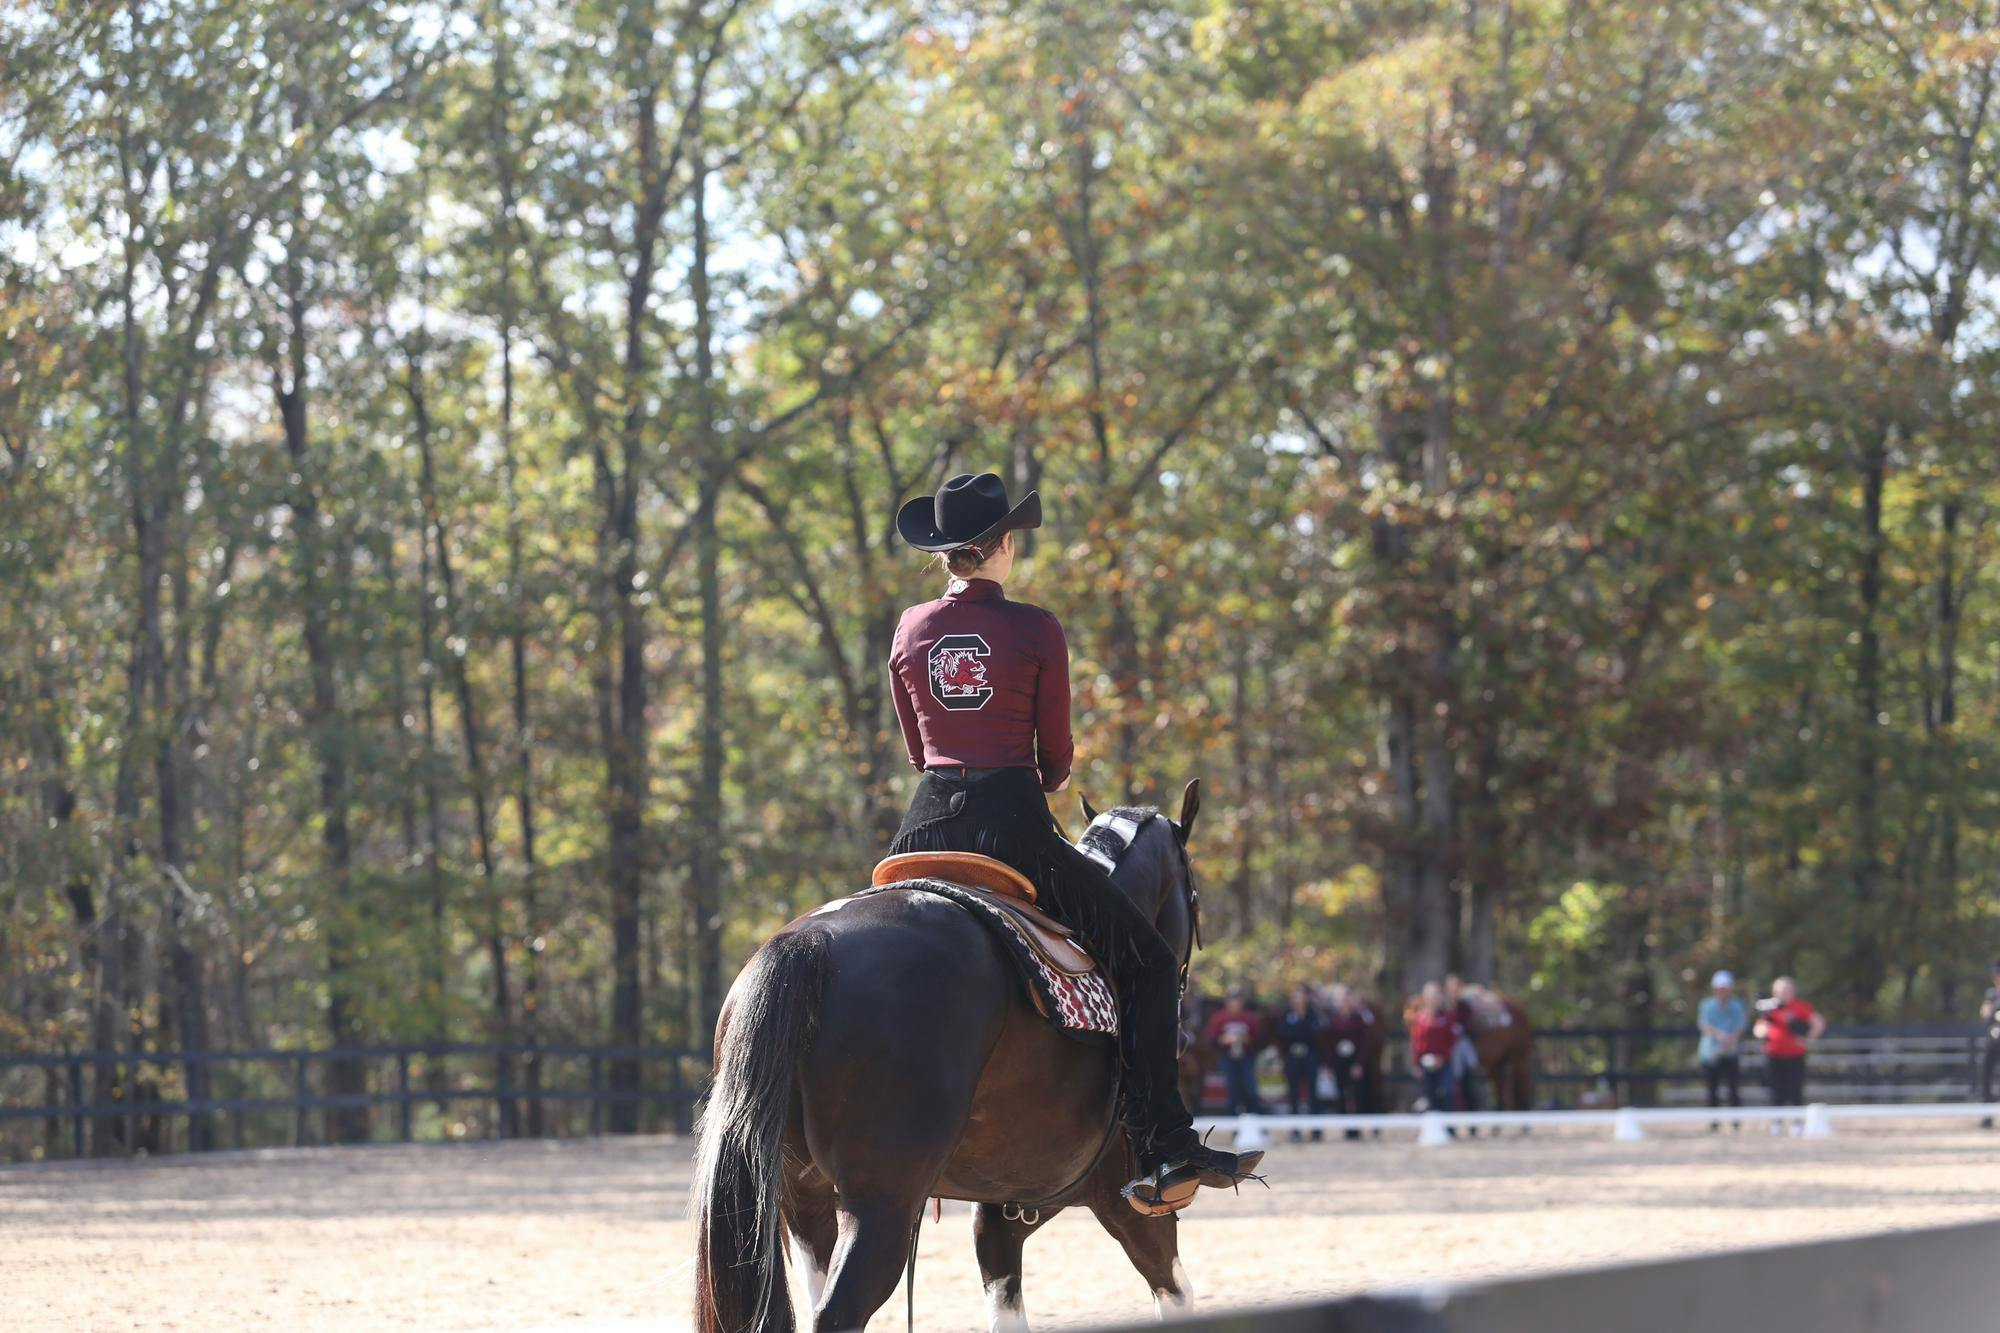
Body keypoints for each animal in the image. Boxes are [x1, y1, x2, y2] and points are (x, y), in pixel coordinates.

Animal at [696, 780, 1208, 1328]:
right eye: (1193, 893)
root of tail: (811, 942)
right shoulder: (1128, 1204)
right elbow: (1177, 1294)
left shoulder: (1007, 1210)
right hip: (881, 1206)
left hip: (803, 1202)